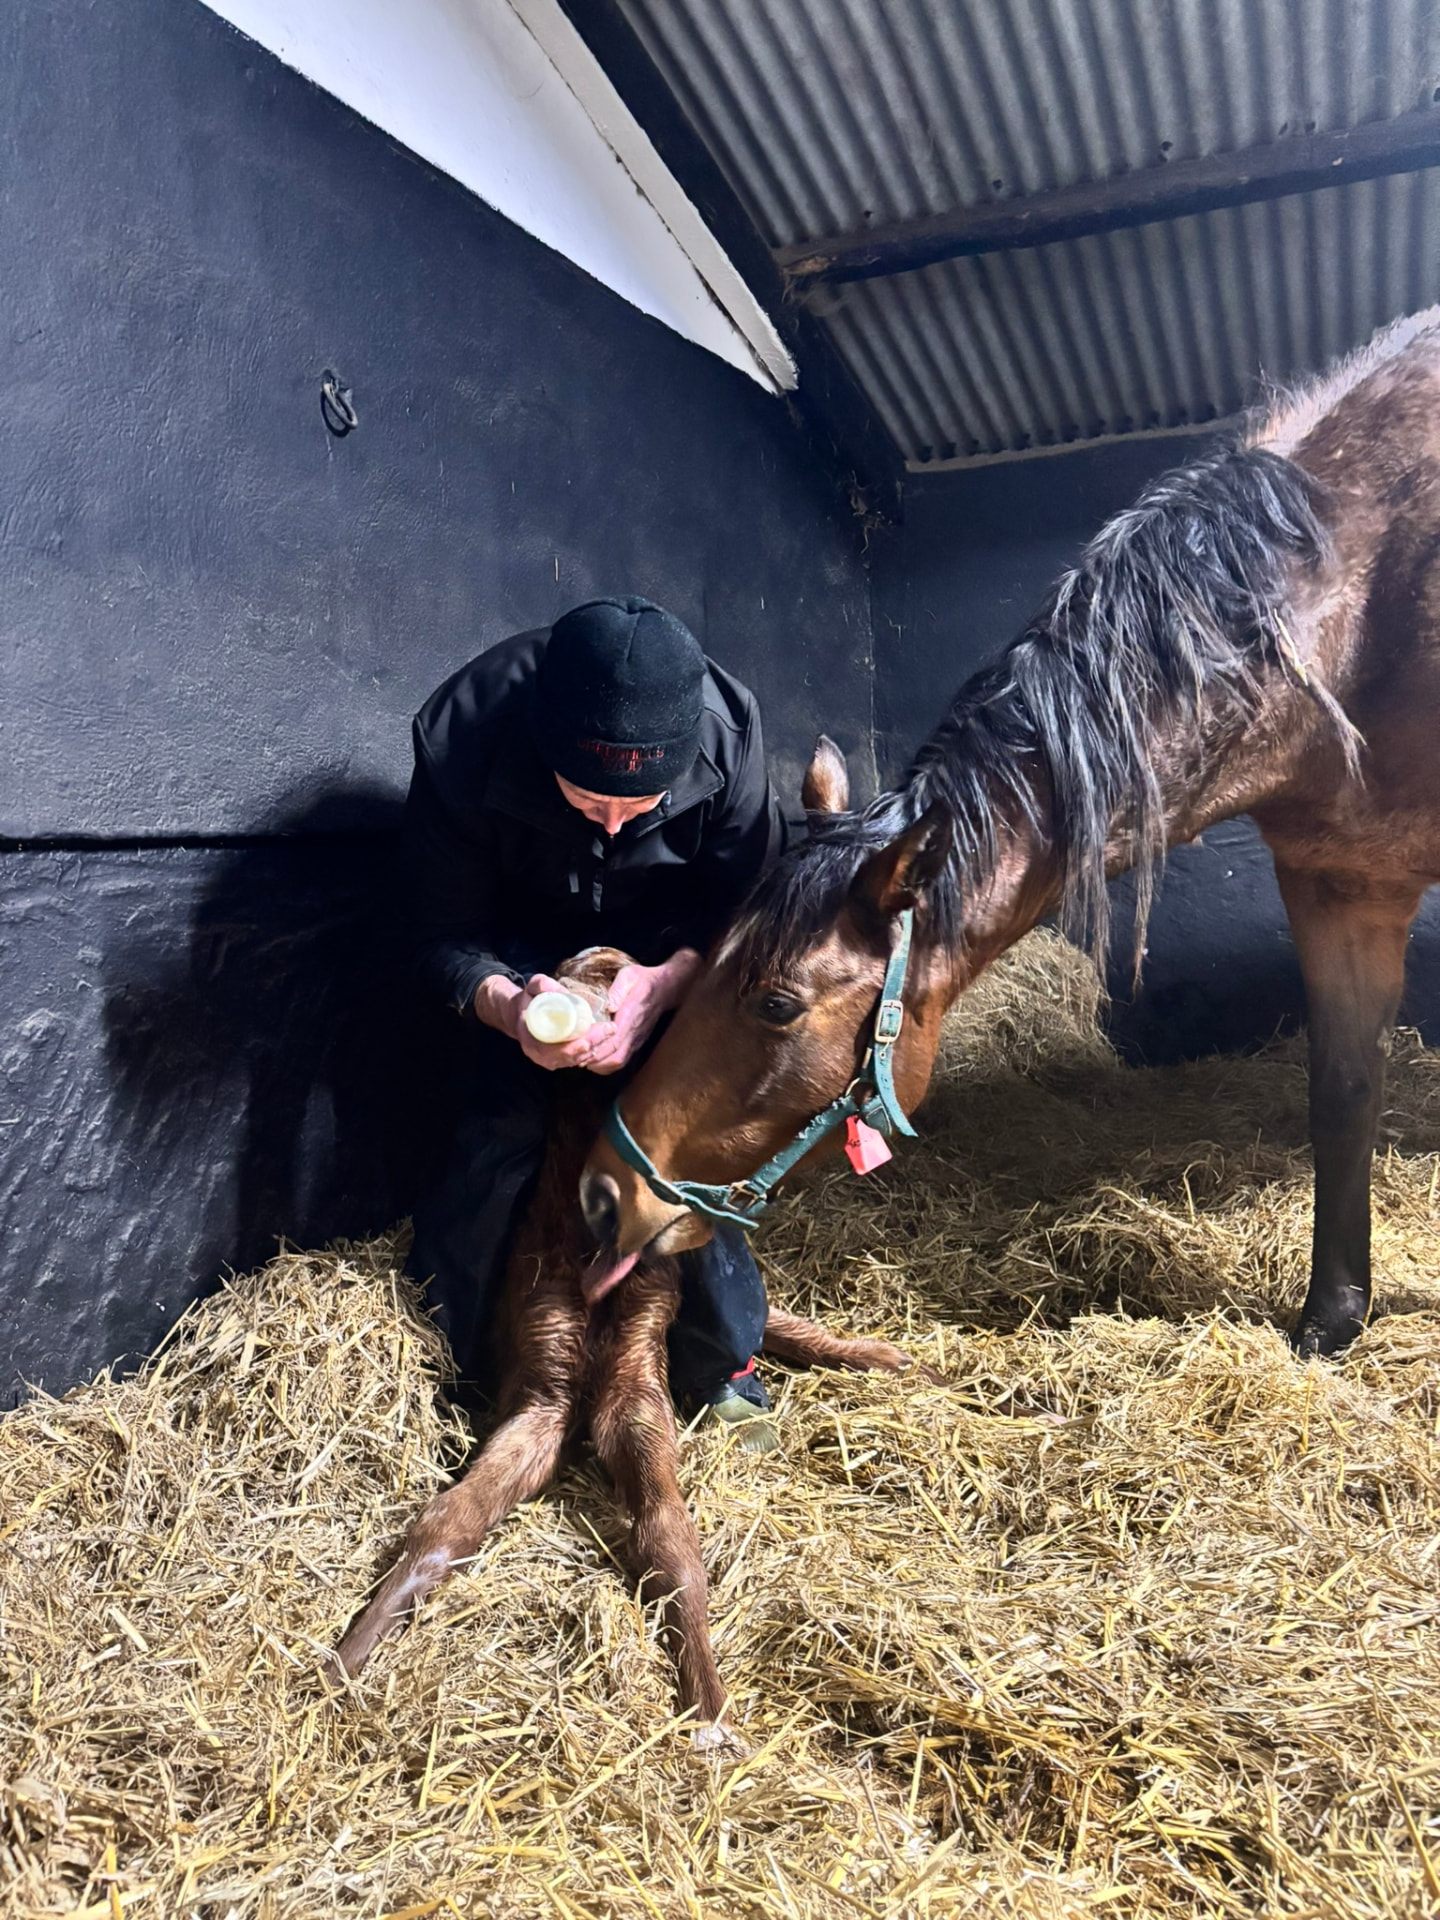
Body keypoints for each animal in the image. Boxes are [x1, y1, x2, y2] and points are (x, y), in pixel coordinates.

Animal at [331, 945, 923, 1744]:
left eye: (617, 975)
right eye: (557, 973)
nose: (550, 996)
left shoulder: (636, 1382)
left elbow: (673, 1544)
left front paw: (710, 1709)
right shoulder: (543, 1393)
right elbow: (446, 1523)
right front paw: (347, 1658)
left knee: (773, 1324)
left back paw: (879, 1355)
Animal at [580, 306, 1440, 1362]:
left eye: (778, 1005)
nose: (602, 1194)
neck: (1349, 603)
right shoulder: (1340, 883)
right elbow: (1344, 1092)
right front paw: (1333, 1315)